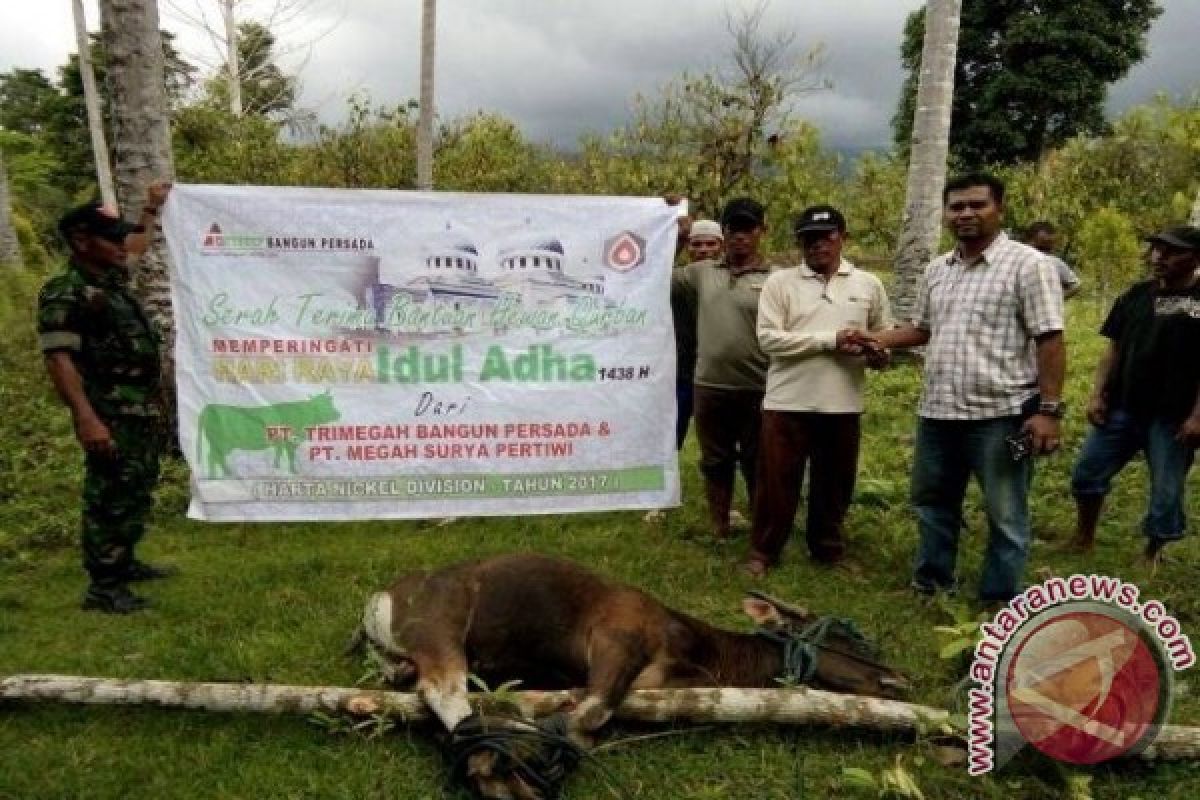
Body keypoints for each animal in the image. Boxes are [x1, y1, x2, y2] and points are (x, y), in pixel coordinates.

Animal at [352, 554, 907, 796]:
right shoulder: (615, 644)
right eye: (842, 637)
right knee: (446, 693)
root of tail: (381, 598)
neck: (696, 646)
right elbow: (591, 713)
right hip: (441, 633)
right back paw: (493, 762)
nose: (895, 679)